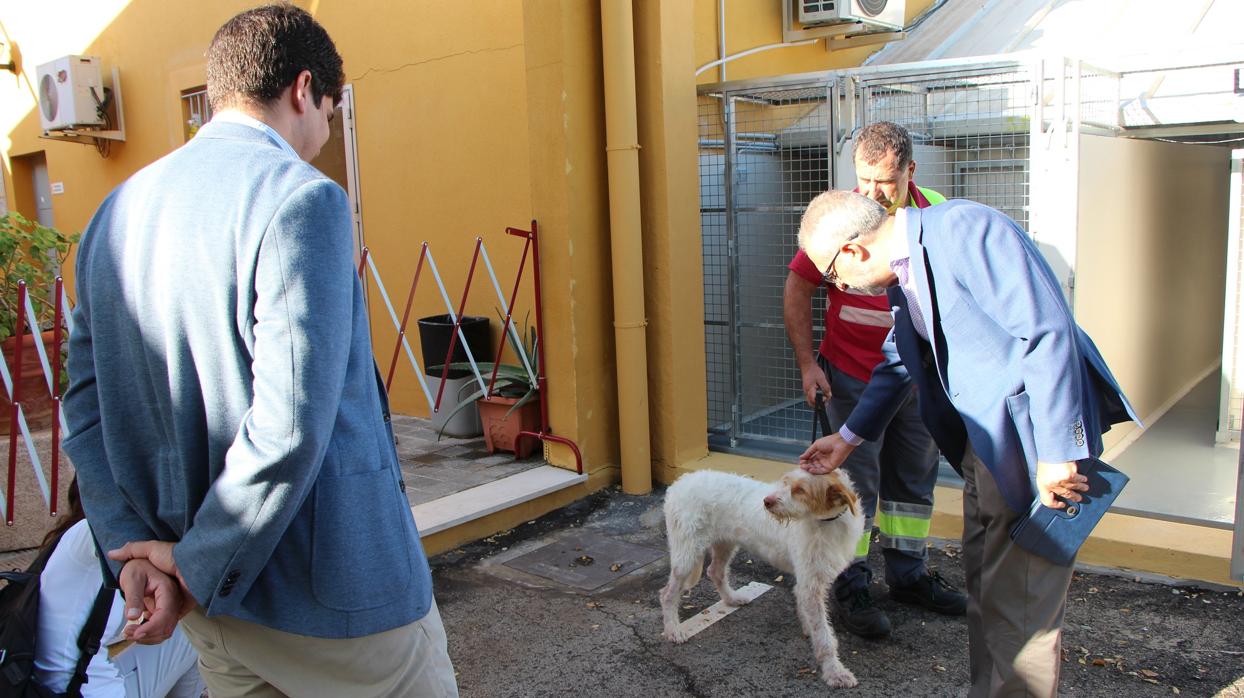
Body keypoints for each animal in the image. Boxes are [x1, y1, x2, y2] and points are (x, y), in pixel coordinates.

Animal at [661, 465, 865, 686]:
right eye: (785, 482)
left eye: (800, 490)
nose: (766, 501)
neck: (826, 523)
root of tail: (680, 483)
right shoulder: (810, 584)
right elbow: (825, 637)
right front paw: (835, 671)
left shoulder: (809, 582)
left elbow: (811, 616)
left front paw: (809, 630)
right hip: (687, 553)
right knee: (667, 593)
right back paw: (673, 630)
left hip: (725, 542)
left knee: (715, 571)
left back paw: (731, 598)